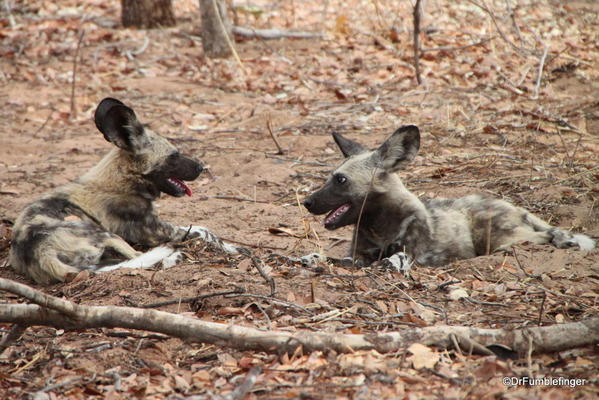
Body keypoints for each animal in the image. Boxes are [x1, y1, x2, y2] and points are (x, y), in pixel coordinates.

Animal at [9, 97, 205, 284]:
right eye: (173, 156)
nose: (201, 167)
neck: (125, 181)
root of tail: (41, 251)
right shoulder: (156, 231)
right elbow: (201, 231)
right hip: (105, 234)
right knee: (140, 258)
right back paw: (175, 257)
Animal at [304, 126, 596, 268]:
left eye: (340, 180)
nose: (307, 202)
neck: (378, 226)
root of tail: (512, 205)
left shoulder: (410, 256)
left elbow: (389, 262)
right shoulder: (358, 256)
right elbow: (332, 259)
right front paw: (312, 259)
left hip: (499, 238)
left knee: (544, 236)